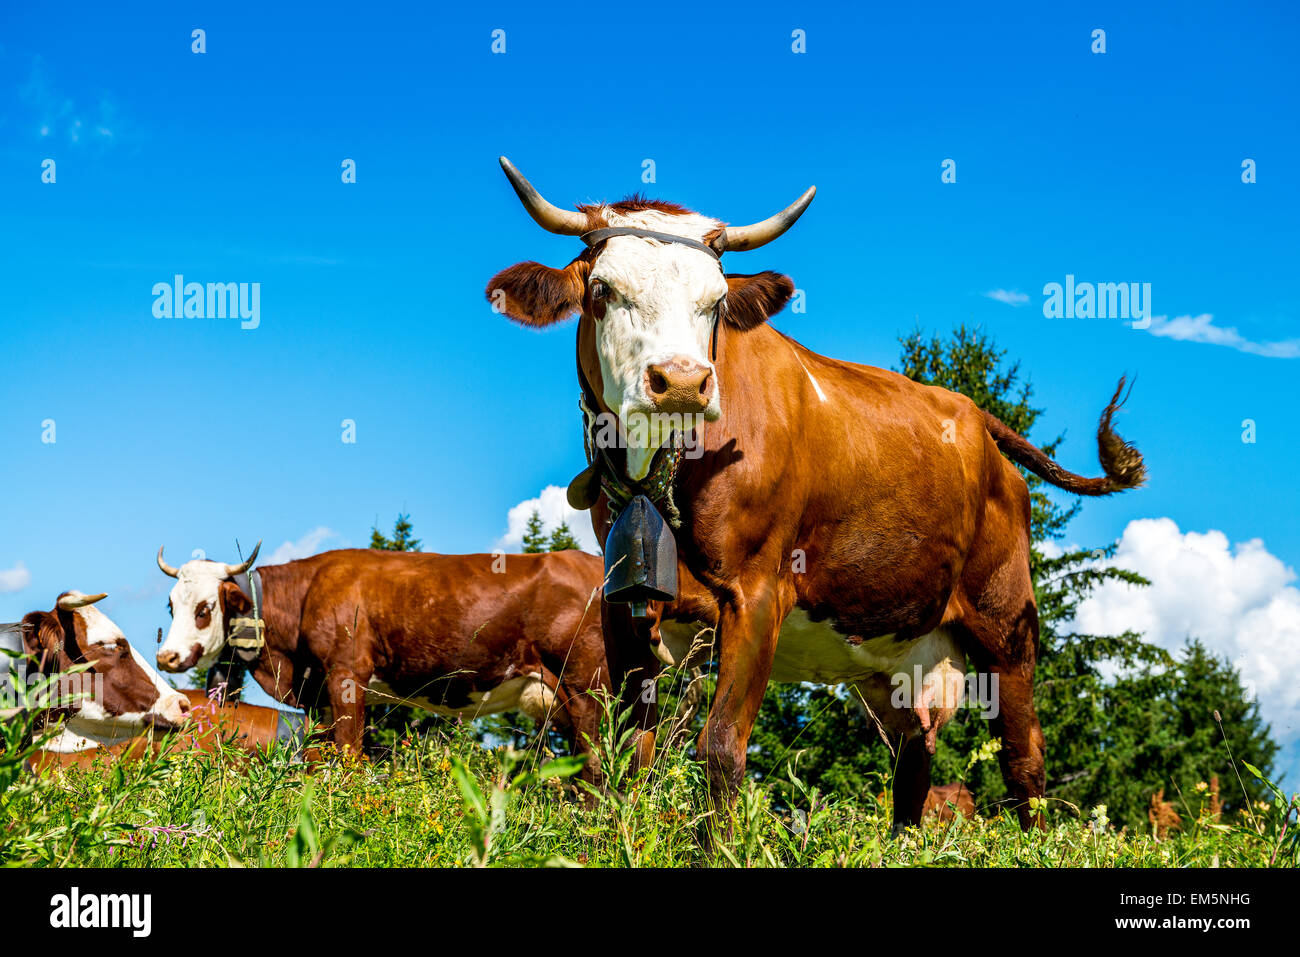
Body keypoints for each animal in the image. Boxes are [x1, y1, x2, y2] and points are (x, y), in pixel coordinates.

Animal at [154, 546, 611, 769]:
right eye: (171, 605)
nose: (166, 657)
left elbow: (350, 754)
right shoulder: (318, 696)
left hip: (587, 689)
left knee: (599, 764)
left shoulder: (346, 675)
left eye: (205, 608)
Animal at [488, 158, 1149, 832]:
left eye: (716, 303)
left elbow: (720, 745)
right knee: (913, 759)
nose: (683, 381)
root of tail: (972, 415)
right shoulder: (623, 597)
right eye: (602, 291)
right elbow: (626, 751)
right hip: (893, 658)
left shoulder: (758, 590)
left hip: (1006, 624)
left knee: (1024, 760)